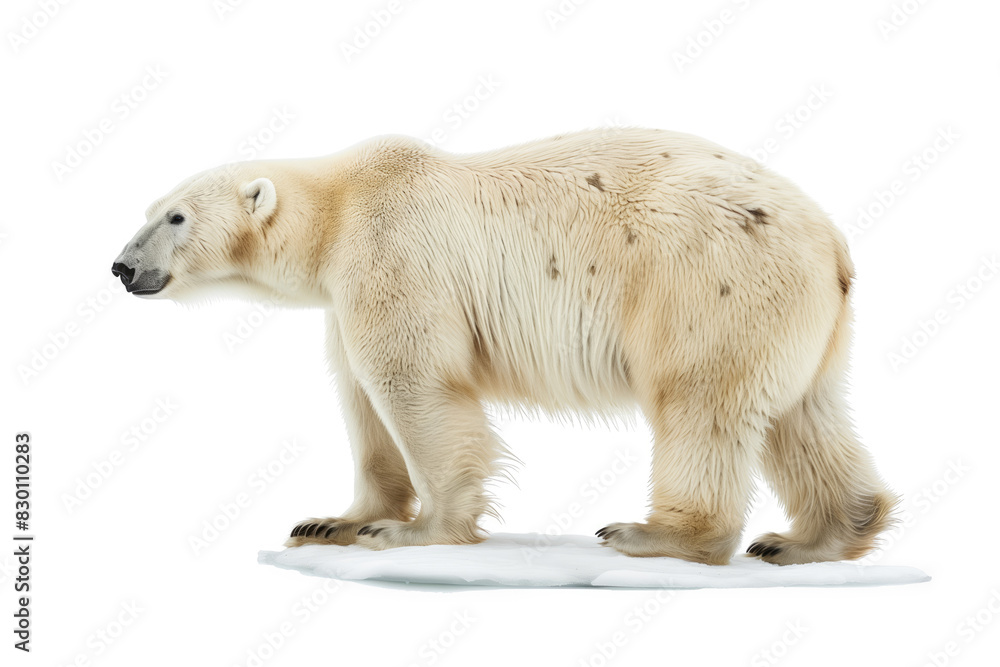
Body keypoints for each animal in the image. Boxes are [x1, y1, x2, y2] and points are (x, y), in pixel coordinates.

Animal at [111, 128, 898, 565]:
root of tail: (834, 241)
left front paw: (414, 532)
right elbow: (359, 400)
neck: (339, 205)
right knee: (803, 413)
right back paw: (813, 537)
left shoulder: (392, 252)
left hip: (712, 281)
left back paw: (652, 534)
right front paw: (332, 520)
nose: (120, 266)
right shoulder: (343, 296)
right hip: (801, 316)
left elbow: (412, 381)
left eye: (175, 217)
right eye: (149, 209)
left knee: (699, 402)